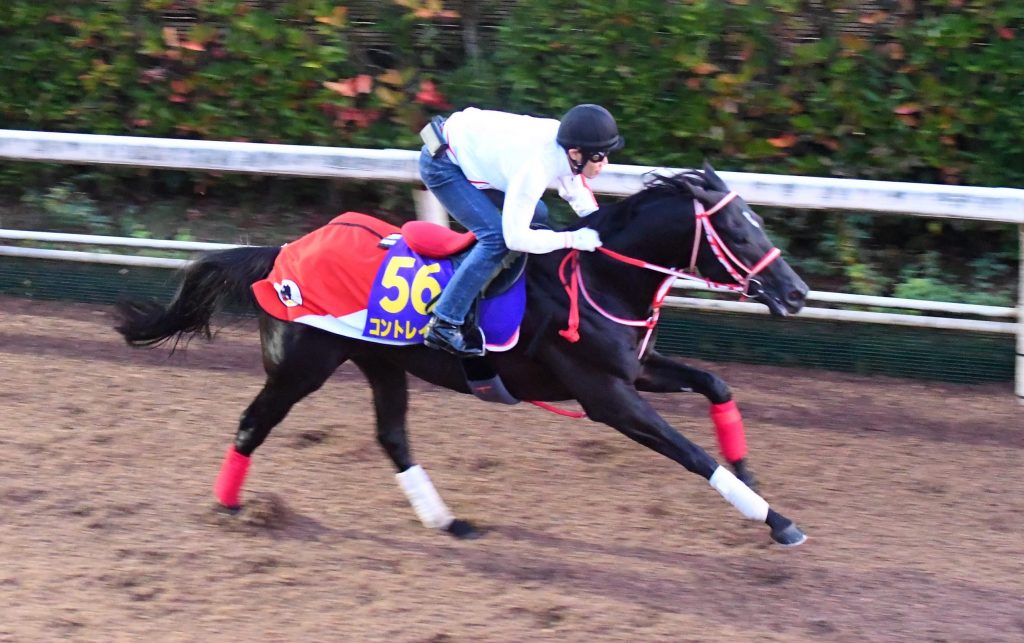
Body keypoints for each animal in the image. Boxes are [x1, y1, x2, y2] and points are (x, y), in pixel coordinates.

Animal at [116, 162, 811, 544]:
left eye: (756, 222)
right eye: (740, 230)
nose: (797, 292)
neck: (598, 275)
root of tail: (282, 253)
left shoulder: (634, 369)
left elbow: (716, 384)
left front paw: (749, 474)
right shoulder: (605, 394)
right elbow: (690, 454)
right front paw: (776, 520)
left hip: (382, 362)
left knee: (392, 436)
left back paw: (447, 521)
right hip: (302, 367)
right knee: (251, 424)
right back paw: (231, 508)